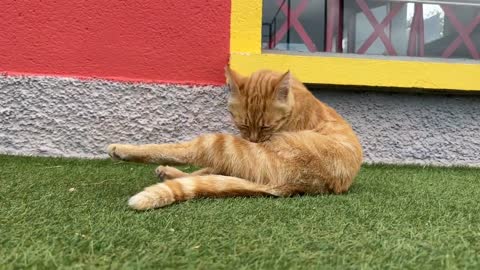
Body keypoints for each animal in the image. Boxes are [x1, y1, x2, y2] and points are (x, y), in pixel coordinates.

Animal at [108, 66, 364, 210]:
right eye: (242, 124)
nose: (254, 140)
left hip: (223, 143)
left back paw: (124, 150)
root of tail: (304, 186)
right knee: (213, 172)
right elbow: (209, 171)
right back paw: (168, 172)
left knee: (190, 153)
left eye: (266, 126)